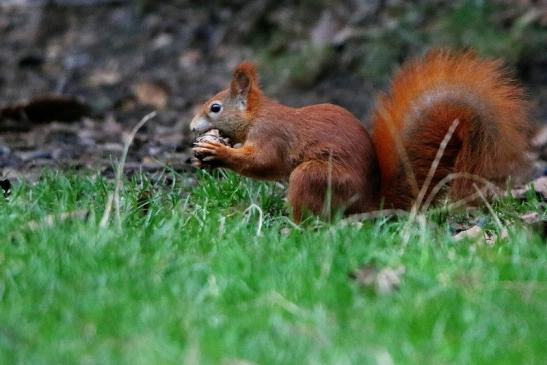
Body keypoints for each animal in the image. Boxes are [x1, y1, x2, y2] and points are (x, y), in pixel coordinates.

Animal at [192, 50, 532, 222]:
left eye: (215, 107)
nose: (192, 127)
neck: (257, 116)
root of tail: (370, 203)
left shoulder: (271, 135)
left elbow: (262, 162)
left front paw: (220, 153)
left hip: (314, 176)